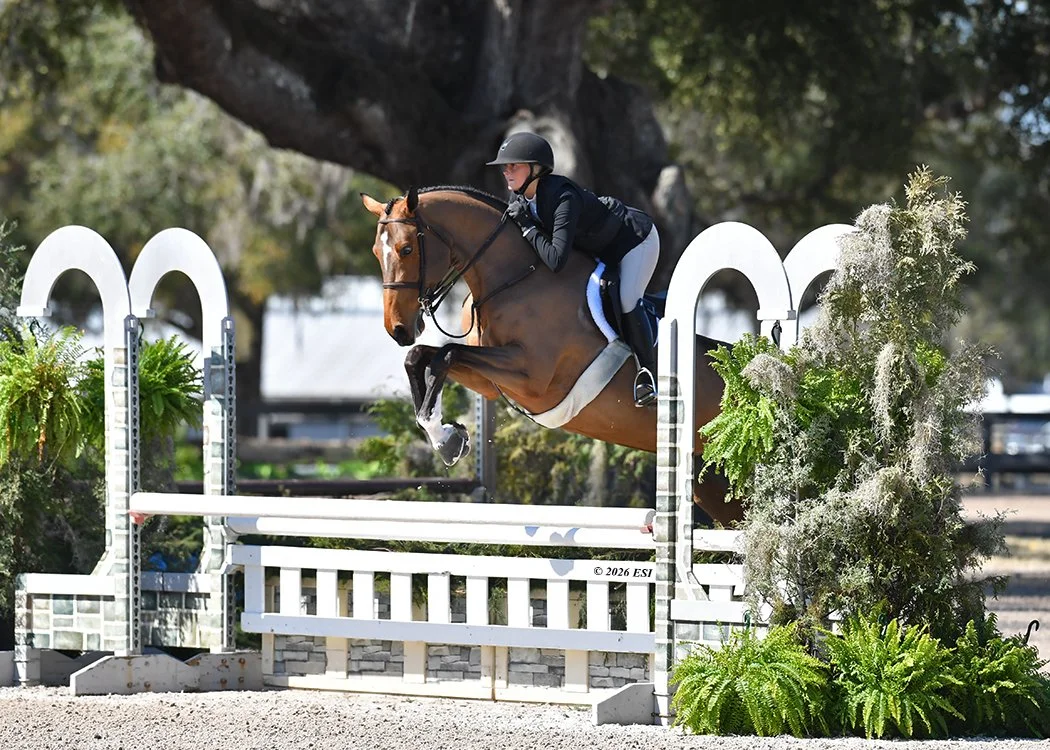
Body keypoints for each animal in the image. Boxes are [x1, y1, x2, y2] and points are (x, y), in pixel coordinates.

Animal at [360, 186, 741, 526]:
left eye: (406, 249)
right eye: (377, 253)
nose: (397, 329)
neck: (514, 278)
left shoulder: (532, 378)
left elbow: (446, 355)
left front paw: (448, 441)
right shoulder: (487, 381)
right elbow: (421, 357)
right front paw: (446, 438)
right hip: (712, 483)